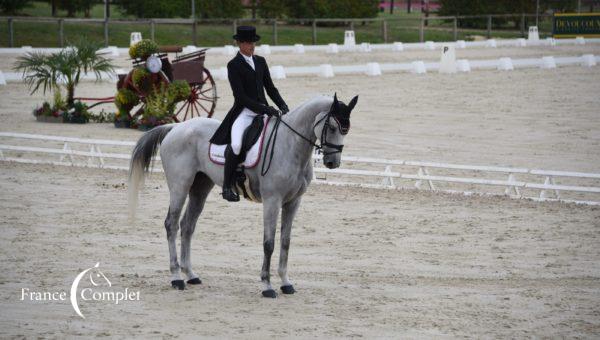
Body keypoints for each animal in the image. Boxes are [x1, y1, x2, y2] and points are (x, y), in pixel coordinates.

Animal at [127, 93, 356, 298]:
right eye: (332, 127)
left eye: (346, 130)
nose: (332, 163)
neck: (290, 144)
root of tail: (176, 127)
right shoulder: (272, 201)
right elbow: (269, 243)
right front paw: (267, 286)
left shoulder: (293, 202)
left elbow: (285, 242)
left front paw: (286, 283)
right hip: (179, 187)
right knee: (172, 224)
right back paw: (176, 278)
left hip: (200, 188)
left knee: (187, 226)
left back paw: (190, 275)